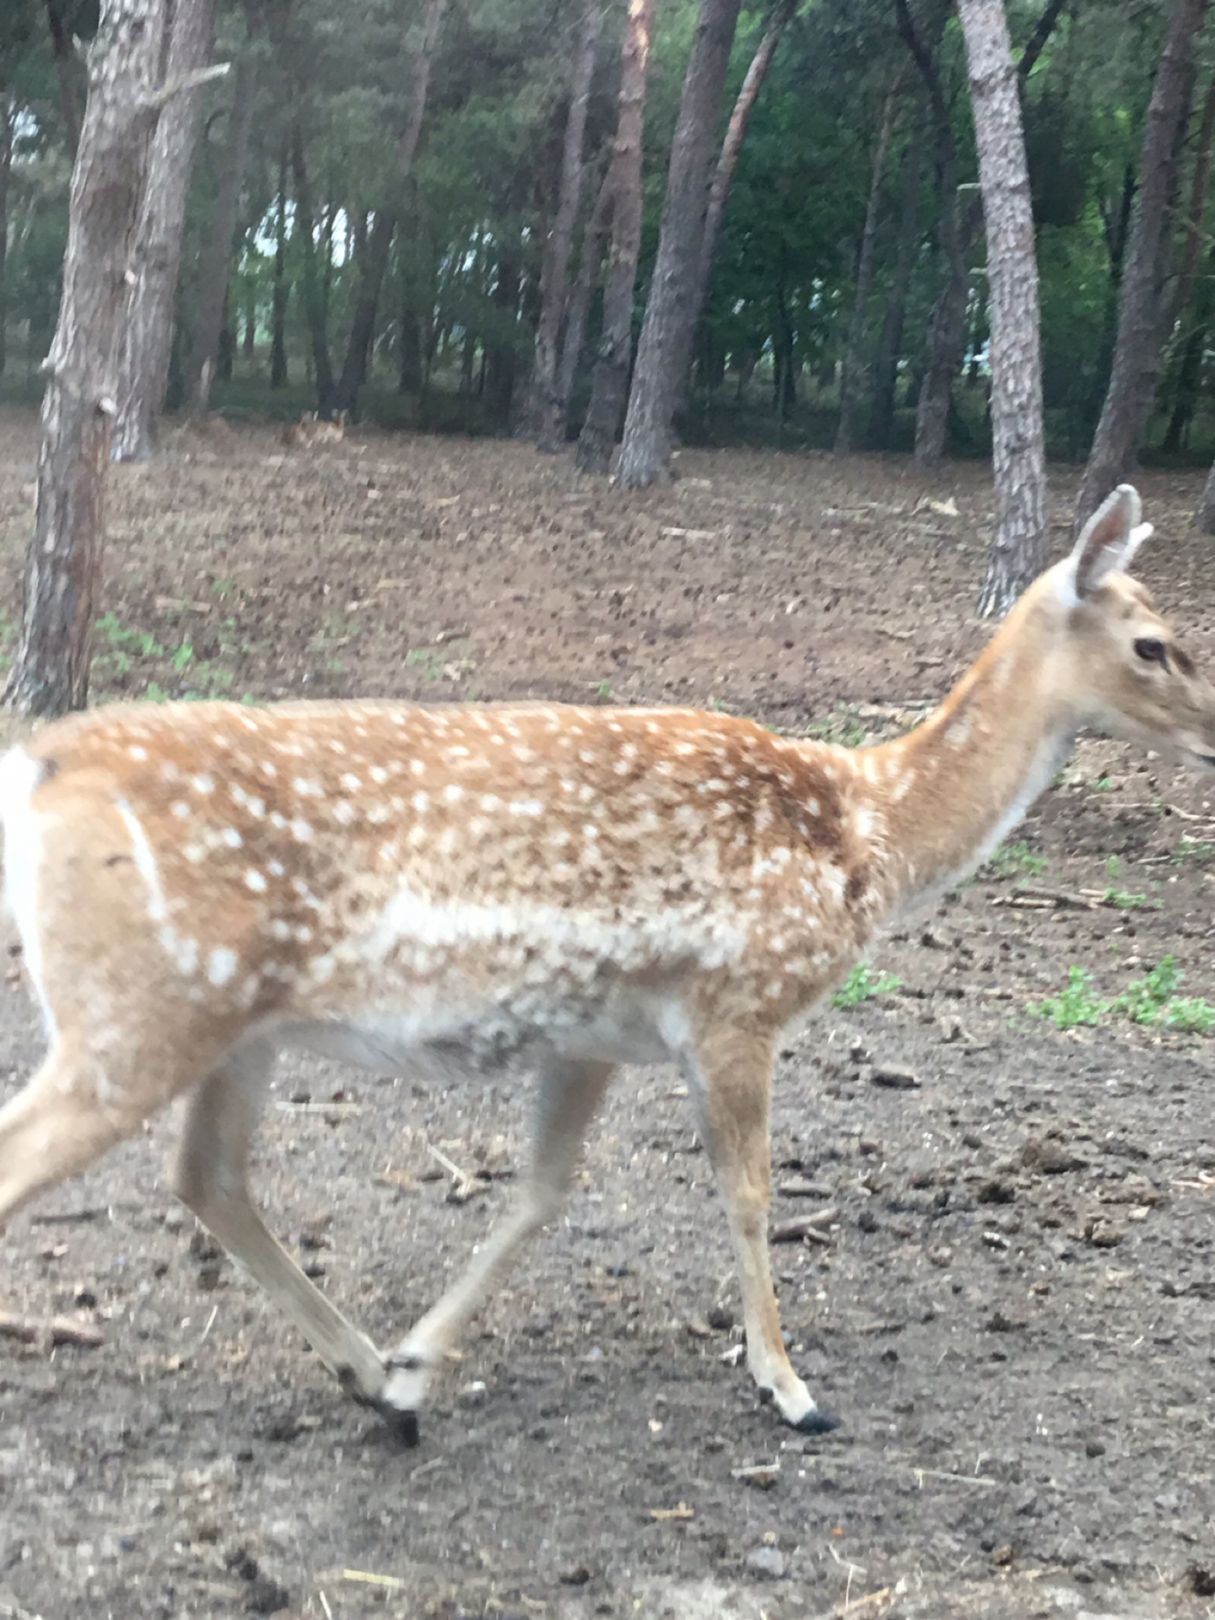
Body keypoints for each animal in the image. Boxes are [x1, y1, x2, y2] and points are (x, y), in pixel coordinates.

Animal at [0, 482, 1211, 1445]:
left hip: (228, 1019)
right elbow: (748, 1192)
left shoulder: (590, 1036)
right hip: (136, 1012)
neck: (869, 837)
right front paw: (790, 1387)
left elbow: (542, 1192)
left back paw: (363, 1375)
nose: (1213, 731)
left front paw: (413, 1371)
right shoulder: (739, 1004)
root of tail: (42, 761)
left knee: (208, 1178)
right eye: (1153, 643)